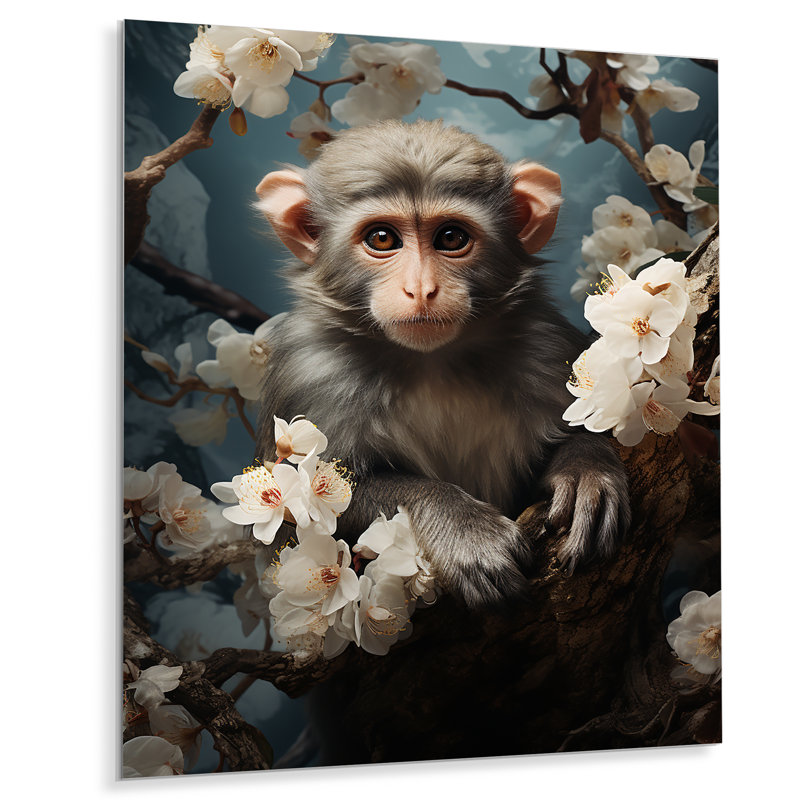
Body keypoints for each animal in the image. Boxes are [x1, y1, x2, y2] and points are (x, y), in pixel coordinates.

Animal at [253, 119, 630, 609]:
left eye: (451, 238)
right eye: (381, 238)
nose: (421, 289)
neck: (431, 362)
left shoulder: (546, 350)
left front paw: (584, 467)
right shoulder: (309, 377)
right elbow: (308, 511)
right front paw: (464, 528)